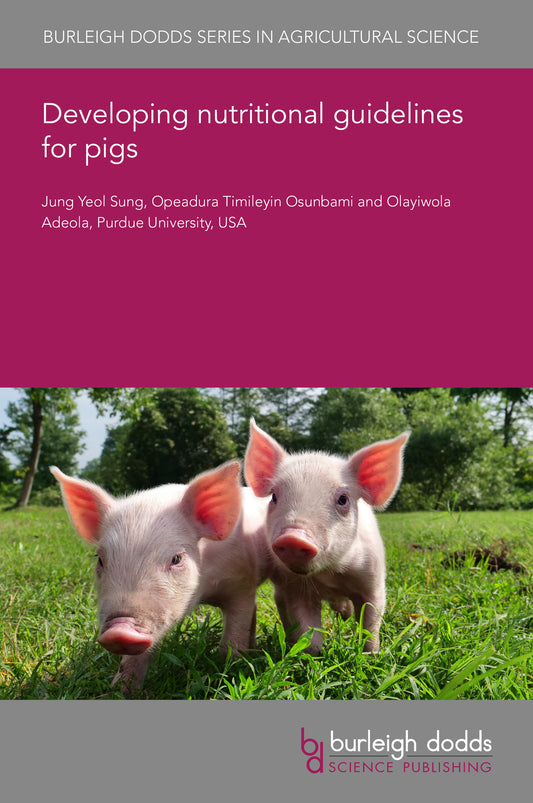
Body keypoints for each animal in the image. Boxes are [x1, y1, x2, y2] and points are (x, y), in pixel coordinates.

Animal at [51, 461, 271, 693]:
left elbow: (233, 636)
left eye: (176, 558)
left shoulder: (242, 584)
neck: (204, 592)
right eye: (100, 560)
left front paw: (231, 671)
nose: (119, 630)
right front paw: (120, 689)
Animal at [244, 420, 409, 654]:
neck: (330, 575)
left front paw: (371, 654)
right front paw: (311, 654)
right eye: (274, 496)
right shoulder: (295, 588)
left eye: (343, 499)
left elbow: (370, 622)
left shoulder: (373, 580)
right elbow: (308, 631)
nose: (293, 537)